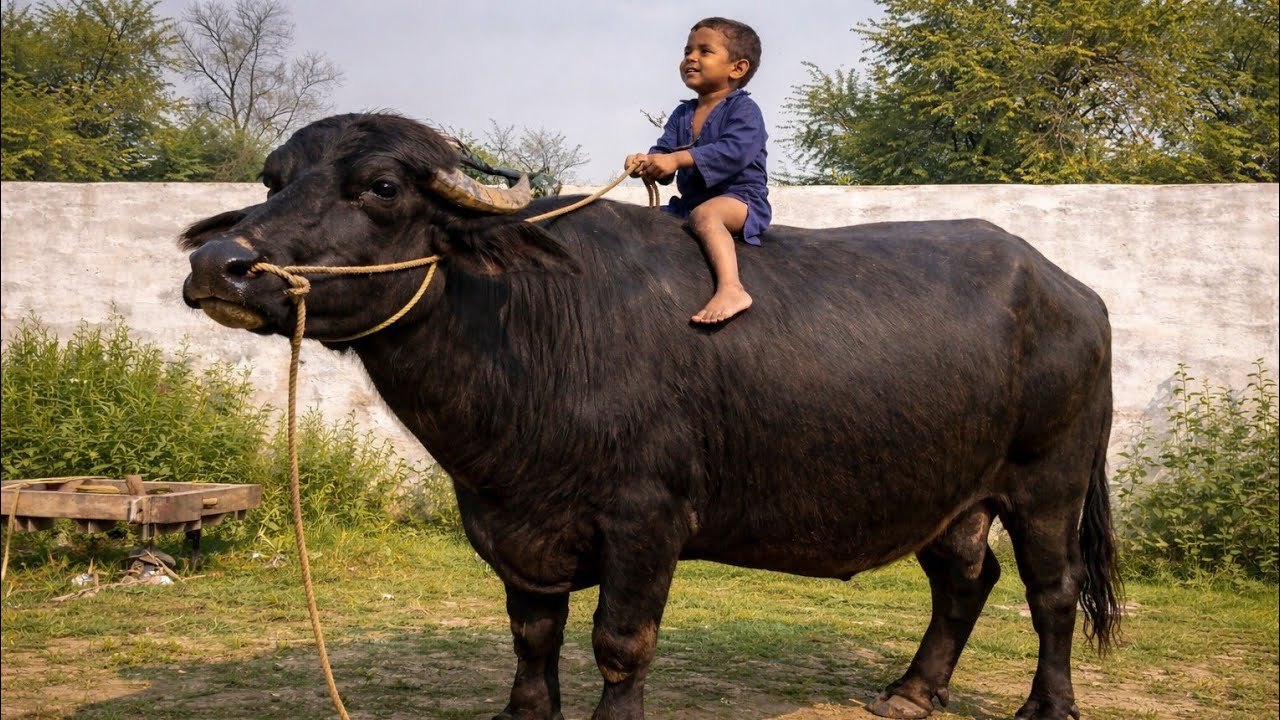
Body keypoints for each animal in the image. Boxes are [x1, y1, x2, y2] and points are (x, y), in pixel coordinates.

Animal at [180, 113, 1121, 720]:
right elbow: (532, 635)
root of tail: (1074, 294)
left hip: (1049, 481)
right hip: (951, 490)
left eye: (379, 186)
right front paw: (525, 713)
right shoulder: (511, 521)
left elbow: (620, 643)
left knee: (1052, 591)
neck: (532, 323)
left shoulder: (646, 520)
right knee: (965, 578)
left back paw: (1048, 708)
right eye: (272, 182)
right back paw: (912, 692)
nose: (218, 263)